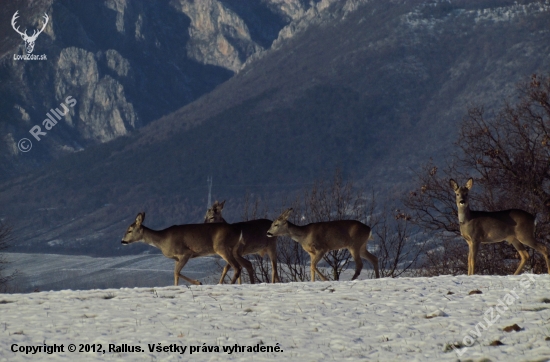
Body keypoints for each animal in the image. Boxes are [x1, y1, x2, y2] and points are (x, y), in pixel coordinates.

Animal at [122, 212, 256, 286]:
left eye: (129, 230)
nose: (122, 241)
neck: (162, 240)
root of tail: (238, 230)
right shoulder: (176, 259)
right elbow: (175, 274)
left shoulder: (185, 253)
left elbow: (176, 272)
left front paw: (198, 282)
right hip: (234, 249)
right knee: (245, 264)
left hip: (222, 247)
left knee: (237, 267)